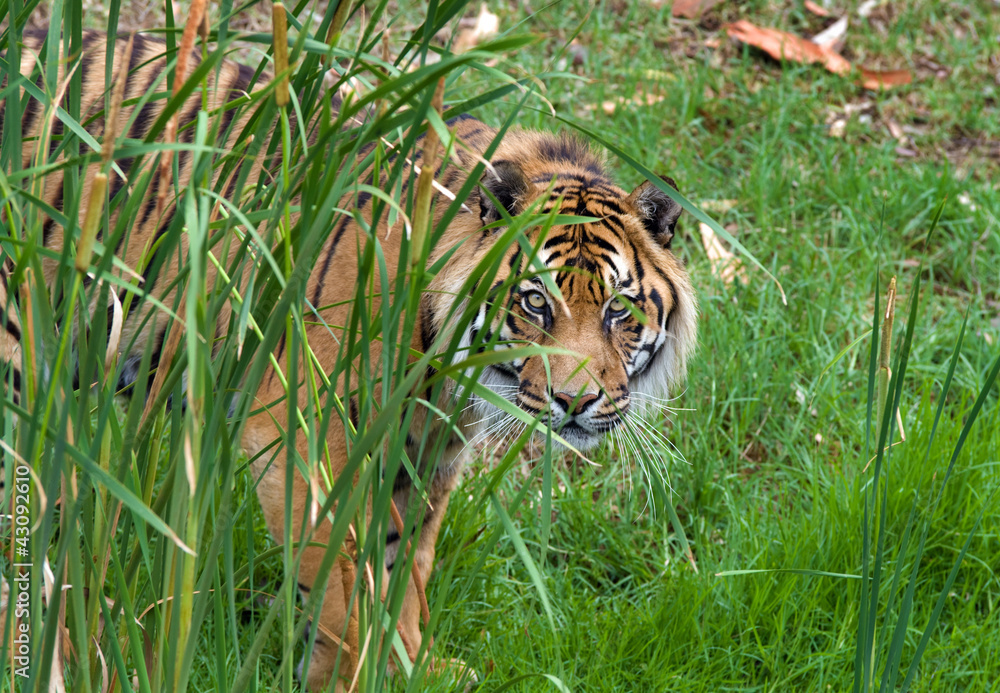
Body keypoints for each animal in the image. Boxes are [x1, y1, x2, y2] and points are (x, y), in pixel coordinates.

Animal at [0, 28, 697, 691]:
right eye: (534, 302)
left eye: (618, 310)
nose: (575, 402)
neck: (449, 376)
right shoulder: (300, 442)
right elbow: (338, 587)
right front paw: (351, 678)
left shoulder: (421, 460)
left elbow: (404, 571)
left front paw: (420, 668)